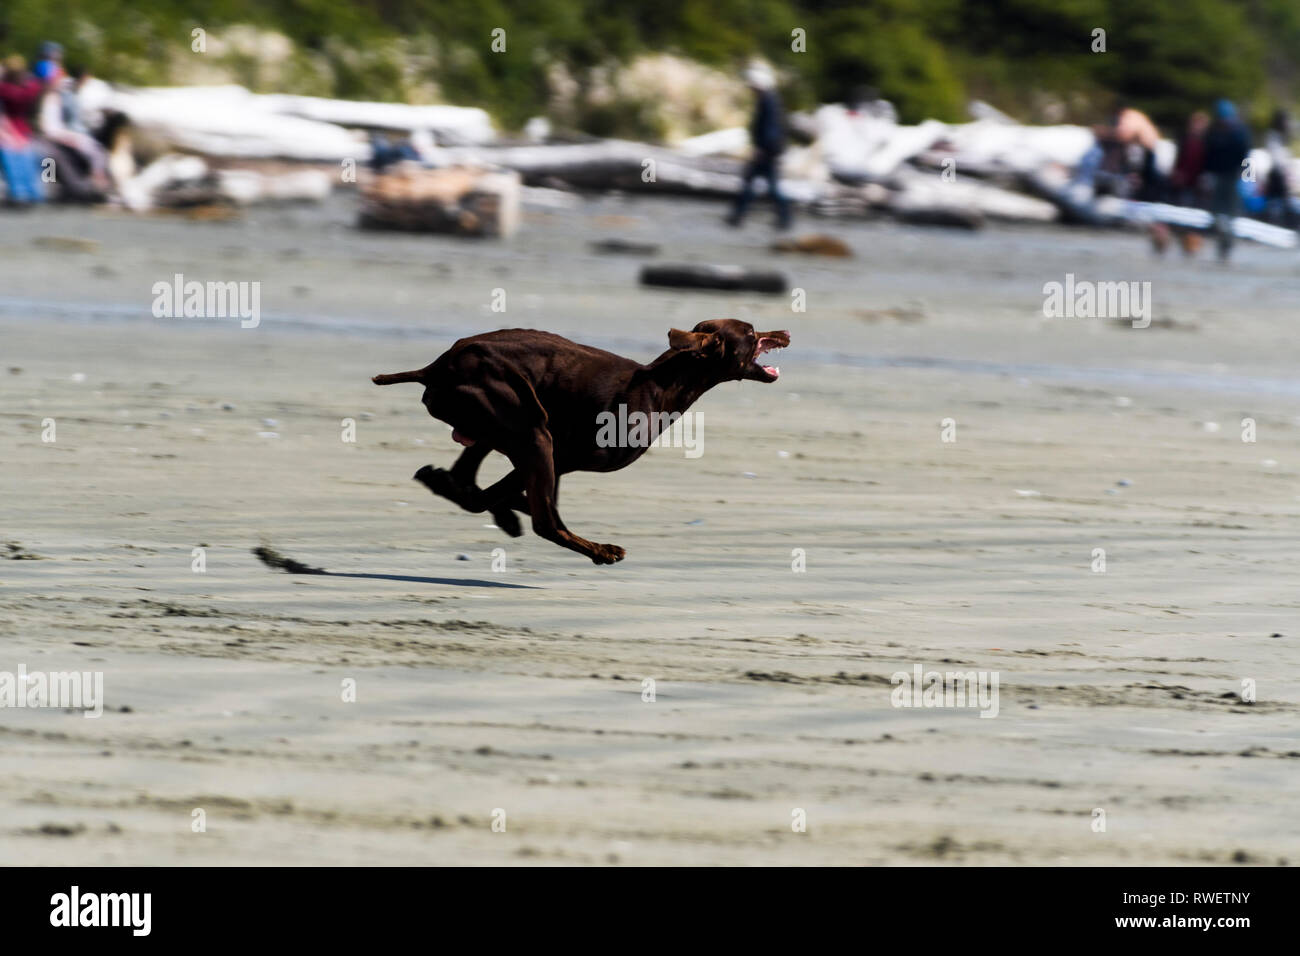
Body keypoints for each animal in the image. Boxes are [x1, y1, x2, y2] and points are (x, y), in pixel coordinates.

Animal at [371, 317, 785, 564]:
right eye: (750, 333)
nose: (785, 332)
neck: (660, 385)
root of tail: (436, 366)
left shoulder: (551, 461)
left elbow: (489, 493)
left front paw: (498, 506)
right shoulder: (559, 456)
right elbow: (503, 499)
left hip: (504, 427)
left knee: (470, 481)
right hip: (532, 429)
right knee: (541, 521)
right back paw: (600, 550)